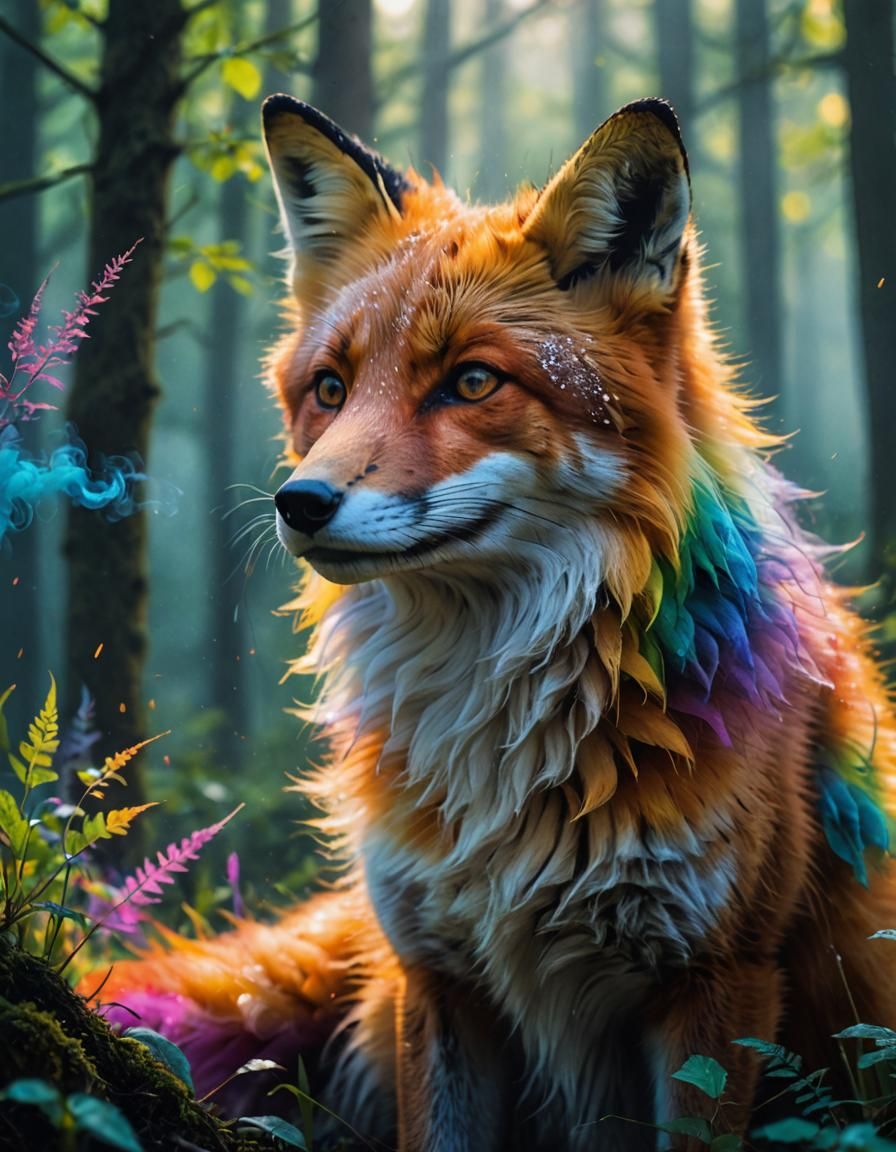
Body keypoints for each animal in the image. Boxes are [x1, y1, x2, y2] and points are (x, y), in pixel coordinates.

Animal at [92, 96, 896, 1151]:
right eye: (330, 389)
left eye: (473, 382)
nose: (298, 504)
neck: (507, 741)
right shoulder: (437, 975)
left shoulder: (720, 984)